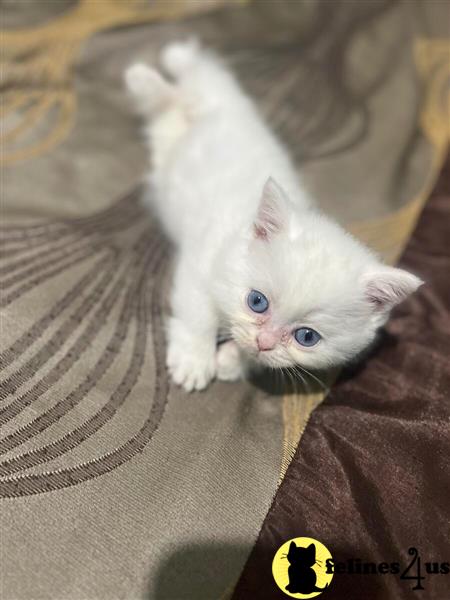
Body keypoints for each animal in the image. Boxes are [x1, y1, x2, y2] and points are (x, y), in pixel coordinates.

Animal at [125, 39, 424, 392]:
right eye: (257, 302)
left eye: (306, 337)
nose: (264, 342)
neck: (239, 230)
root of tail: (225, 112)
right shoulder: (199, 263)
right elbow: (198, 311)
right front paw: (194, 359)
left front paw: (234, 361)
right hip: (210, 99)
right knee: (197, 78)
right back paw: (155, 67)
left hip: (171, 134)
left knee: (170, 105)